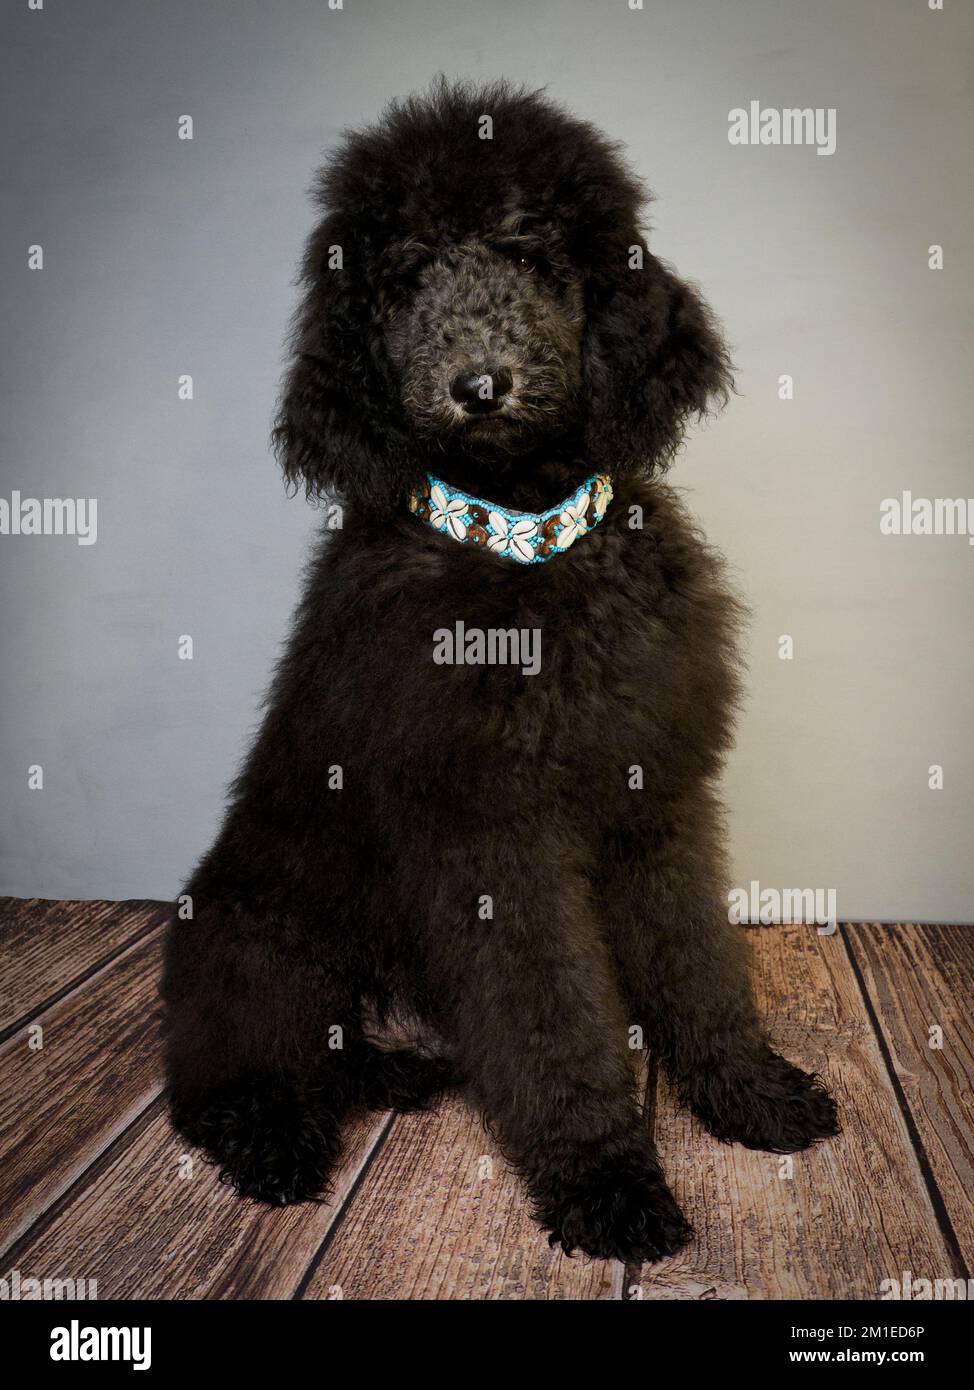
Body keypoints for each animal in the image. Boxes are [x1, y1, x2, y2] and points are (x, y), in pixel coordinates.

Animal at [163, 81, 839, 1267]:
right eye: (406, 280)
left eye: (530, 256)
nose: (478, 385)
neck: (524, 547)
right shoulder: (491, 839)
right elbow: (554, 1025)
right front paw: (608, 1182)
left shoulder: (656, 800)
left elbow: (701, 965)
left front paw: (748, 1092)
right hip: (257, 949)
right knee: (222, 1082)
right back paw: (278, 1145)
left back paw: (391, 1073)